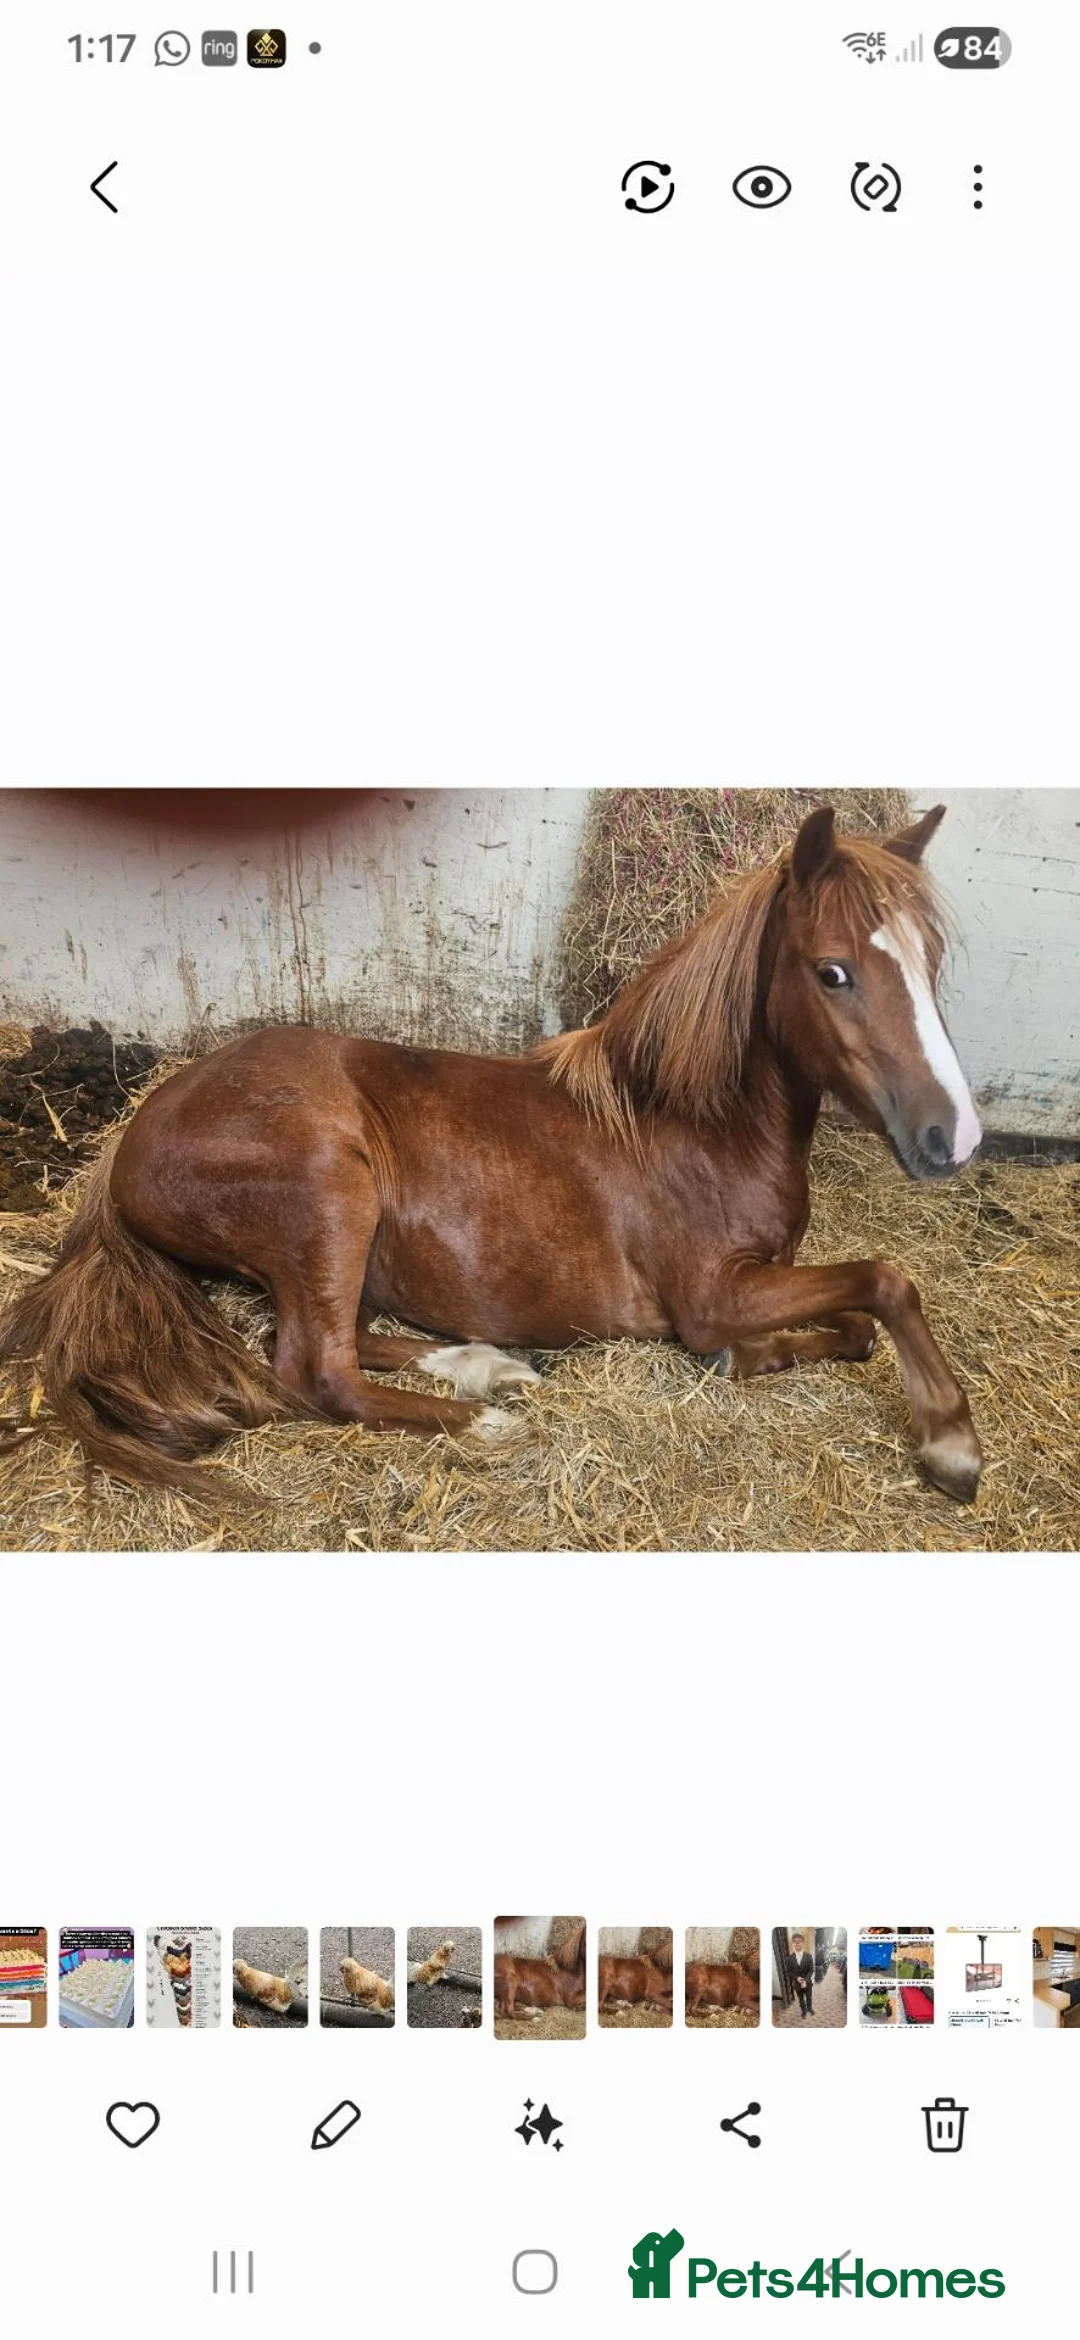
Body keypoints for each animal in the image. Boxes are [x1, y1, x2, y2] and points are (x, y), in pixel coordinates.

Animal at [0, 801, 984, 1502]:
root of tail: (135, 1135)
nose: (954, 1138)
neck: (695, 1126)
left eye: (932, 959)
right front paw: (950, 1445)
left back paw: (489, 1367)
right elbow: (885, 1283)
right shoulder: (712, 1296)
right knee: (314, 1370)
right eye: (833, 971)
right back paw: (486, 1423)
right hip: (332, 1194)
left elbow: (852, 1327)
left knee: (340, 1337)